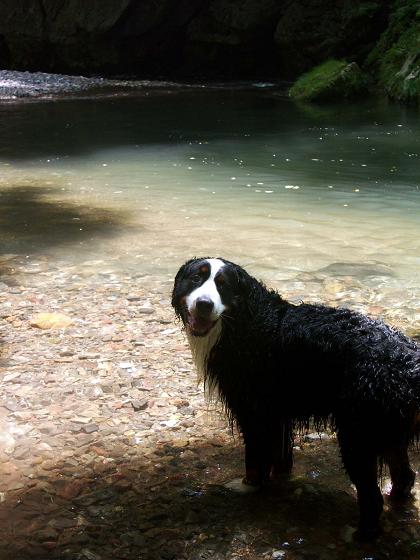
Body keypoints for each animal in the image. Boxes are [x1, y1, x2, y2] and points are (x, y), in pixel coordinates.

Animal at [171, 258, 420, 540]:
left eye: (223, 286)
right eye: (196, 279)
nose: (204, 303)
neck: (245, 324)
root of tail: (409, 360)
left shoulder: (254, 413)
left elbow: (254, 459)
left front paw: (247, 486)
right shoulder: (277, 415)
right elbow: (280, 457)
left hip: (358, 436)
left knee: (372, 497)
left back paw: (359, 534)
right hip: (388, 433)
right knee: (405, 476)